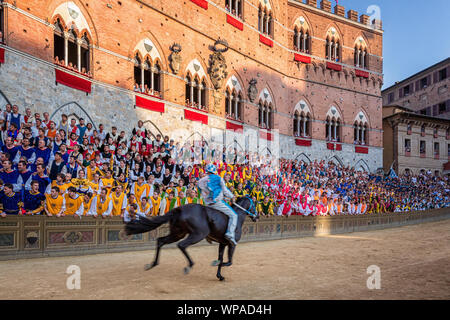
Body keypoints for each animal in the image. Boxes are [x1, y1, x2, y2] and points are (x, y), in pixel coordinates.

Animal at [123, 196, 258, 282]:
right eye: (255, 205)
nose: (257, 216)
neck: (238, 217)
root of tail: (180, 209)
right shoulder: (232, 244)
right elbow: (228, 261)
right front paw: (216, 265)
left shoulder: (223, 243)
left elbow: (221, 259)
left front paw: (220, 276)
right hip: (198, 234)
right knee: (182, 245)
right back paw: (189, 265)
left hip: (178, 233)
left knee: (161, 241)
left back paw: (153, 264)